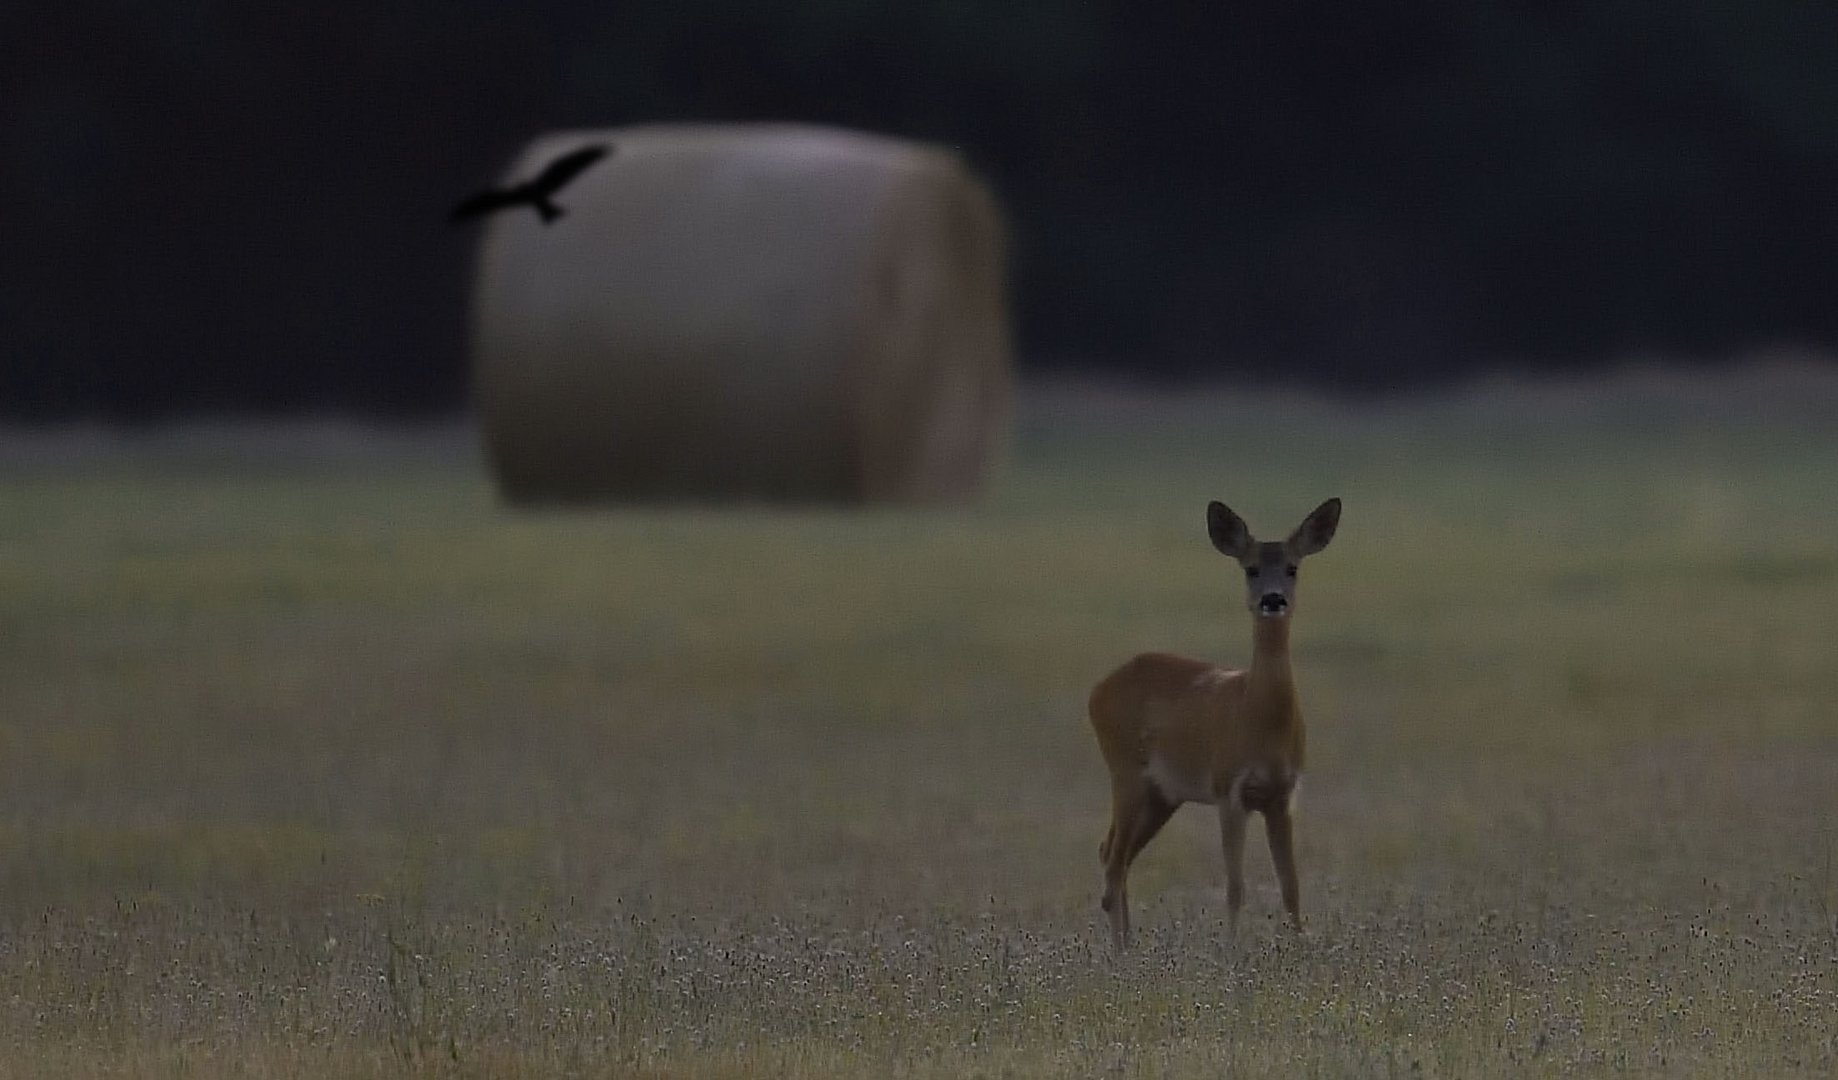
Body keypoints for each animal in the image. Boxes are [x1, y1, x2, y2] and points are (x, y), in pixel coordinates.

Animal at [1088, 492, 1338, 947]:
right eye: (1251, 568)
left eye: (1292, 567)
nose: (1272, 599)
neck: (1259, 717)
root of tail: (1097, 691)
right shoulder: (1228, 788)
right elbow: (1235, 886)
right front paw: (1232, 950)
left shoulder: (1282, 795)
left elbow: (1291, 885)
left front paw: (1300, 948)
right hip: (1124, 770)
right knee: (1113, 861)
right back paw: (1120, 951)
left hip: (1163, 794)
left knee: (1113, 851)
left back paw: (1129, 945)